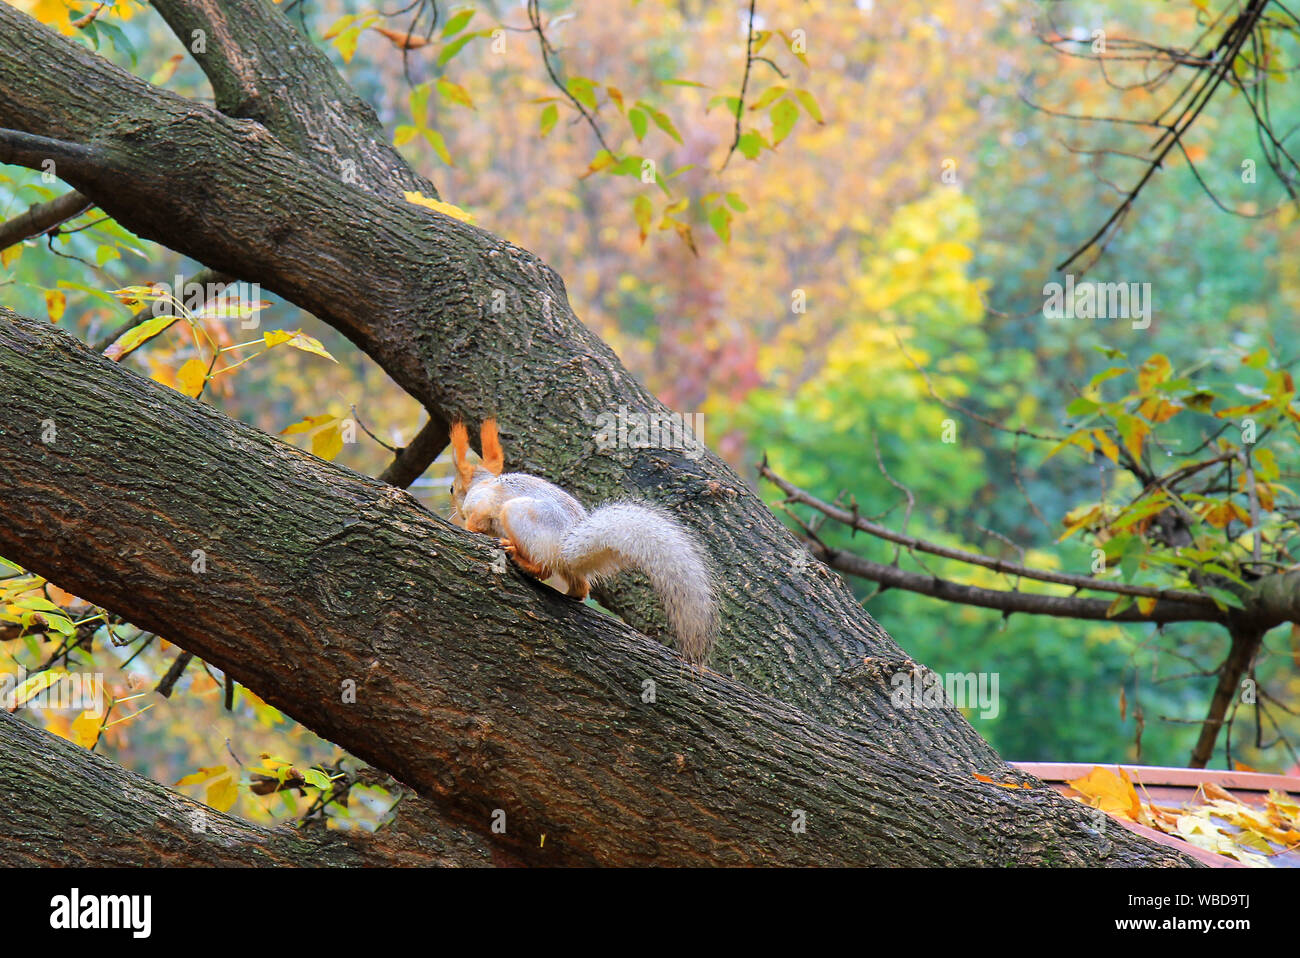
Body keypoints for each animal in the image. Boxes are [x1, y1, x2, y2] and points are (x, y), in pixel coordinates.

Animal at [449, 418, 722, 665]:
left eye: (451, 489)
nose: (454, 510)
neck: (483, 483)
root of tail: (567, 548)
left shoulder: (483, 506)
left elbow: (478, 521)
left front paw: (467, 527)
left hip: (517, 514)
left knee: (544, 569)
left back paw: (519, 558)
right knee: (581, 587)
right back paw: (571, 592)